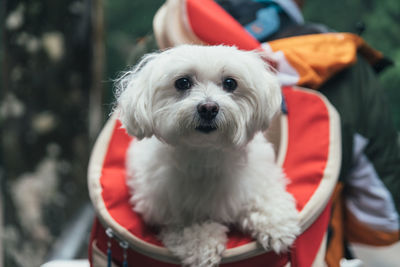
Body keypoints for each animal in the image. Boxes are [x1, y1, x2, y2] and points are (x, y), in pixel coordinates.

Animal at [114, 45, 298, 267]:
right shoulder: (168, 209)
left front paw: (277, 224)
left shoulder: (257, 178)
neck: (207, 154)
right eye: (183, 82)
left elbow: (263, 196)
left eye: (230, 83)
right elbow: (188, 227)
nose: (208, 108)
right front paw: (202, 245)